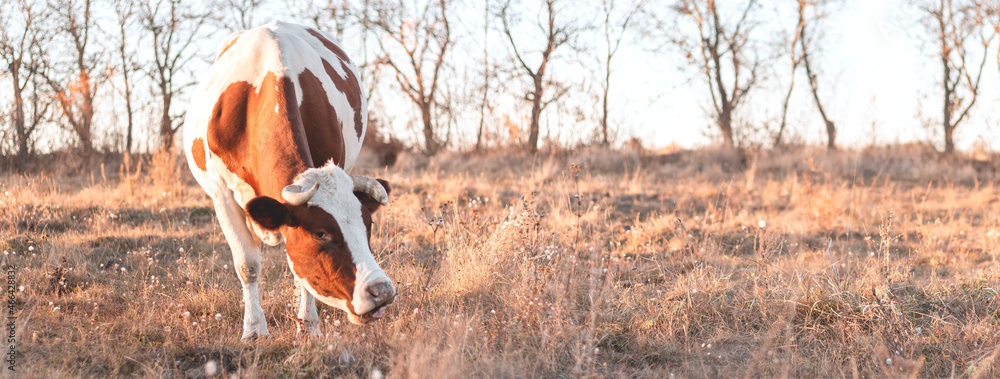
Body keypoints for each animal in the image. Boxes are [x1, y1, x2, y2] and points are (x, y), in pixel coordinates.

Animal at [184, 20, 394, 342]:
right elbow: (247, 265)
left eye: (367, 225)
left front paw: (308, 326)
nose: (381, 291)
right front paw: (254, 331)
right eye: (321, 233)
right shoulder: (222, 195)